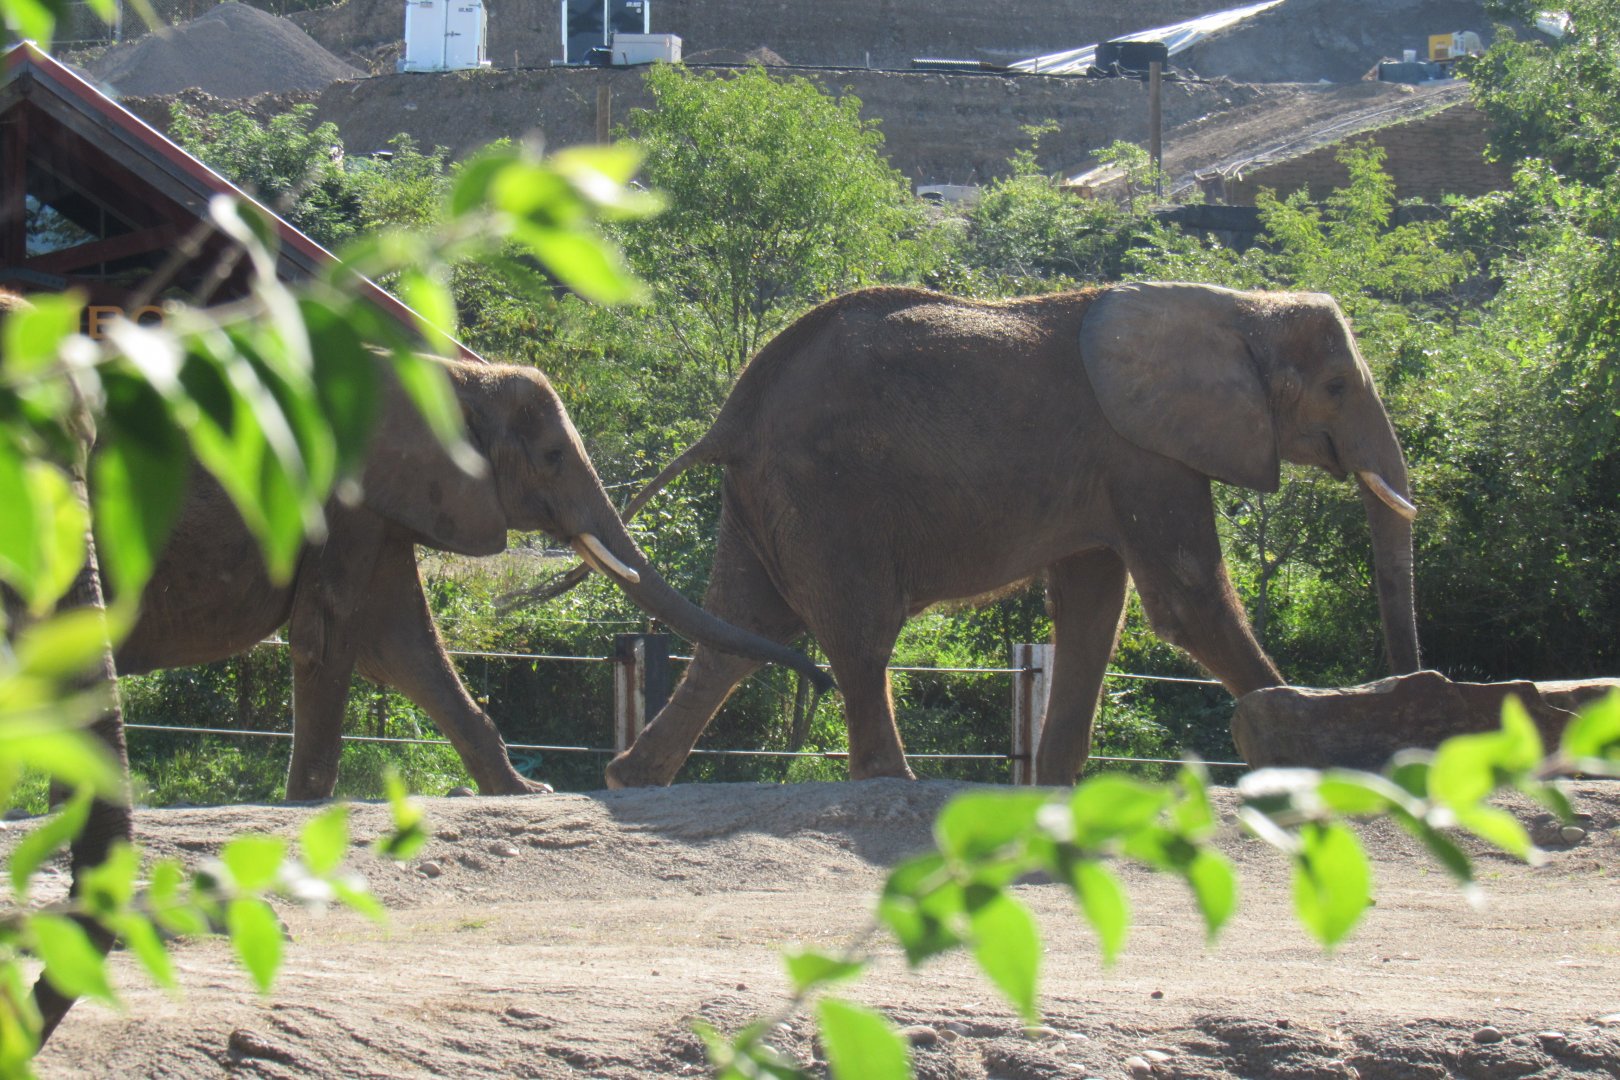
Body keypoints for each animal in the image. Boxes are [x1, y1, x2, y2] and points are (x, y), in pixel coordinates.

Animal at [113, 354, 831, 801]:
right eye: (551, 455)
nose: (822, 681)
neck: (455, 376)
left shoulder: (389, 500)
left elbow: (400, 642)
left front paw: (526, 793)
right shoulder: (346, 495)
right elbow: (331, 633)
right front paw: (303, 806)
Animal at [594, 282, 1420, 788]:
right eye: (1336, 388)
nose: (1410, 685)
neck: (1238, 308)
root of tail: (731, 414)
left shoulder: (1117, 464)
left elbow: (1093, 613)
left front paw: (1054, 788)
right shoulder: (1144, 451)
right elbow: (1187, 606)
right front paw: (1300, 741)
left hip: (765, 497)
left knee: (736, 633)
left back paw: (631, 780)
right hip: (825, 494)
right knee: (857, 636)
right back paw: (896, 784)